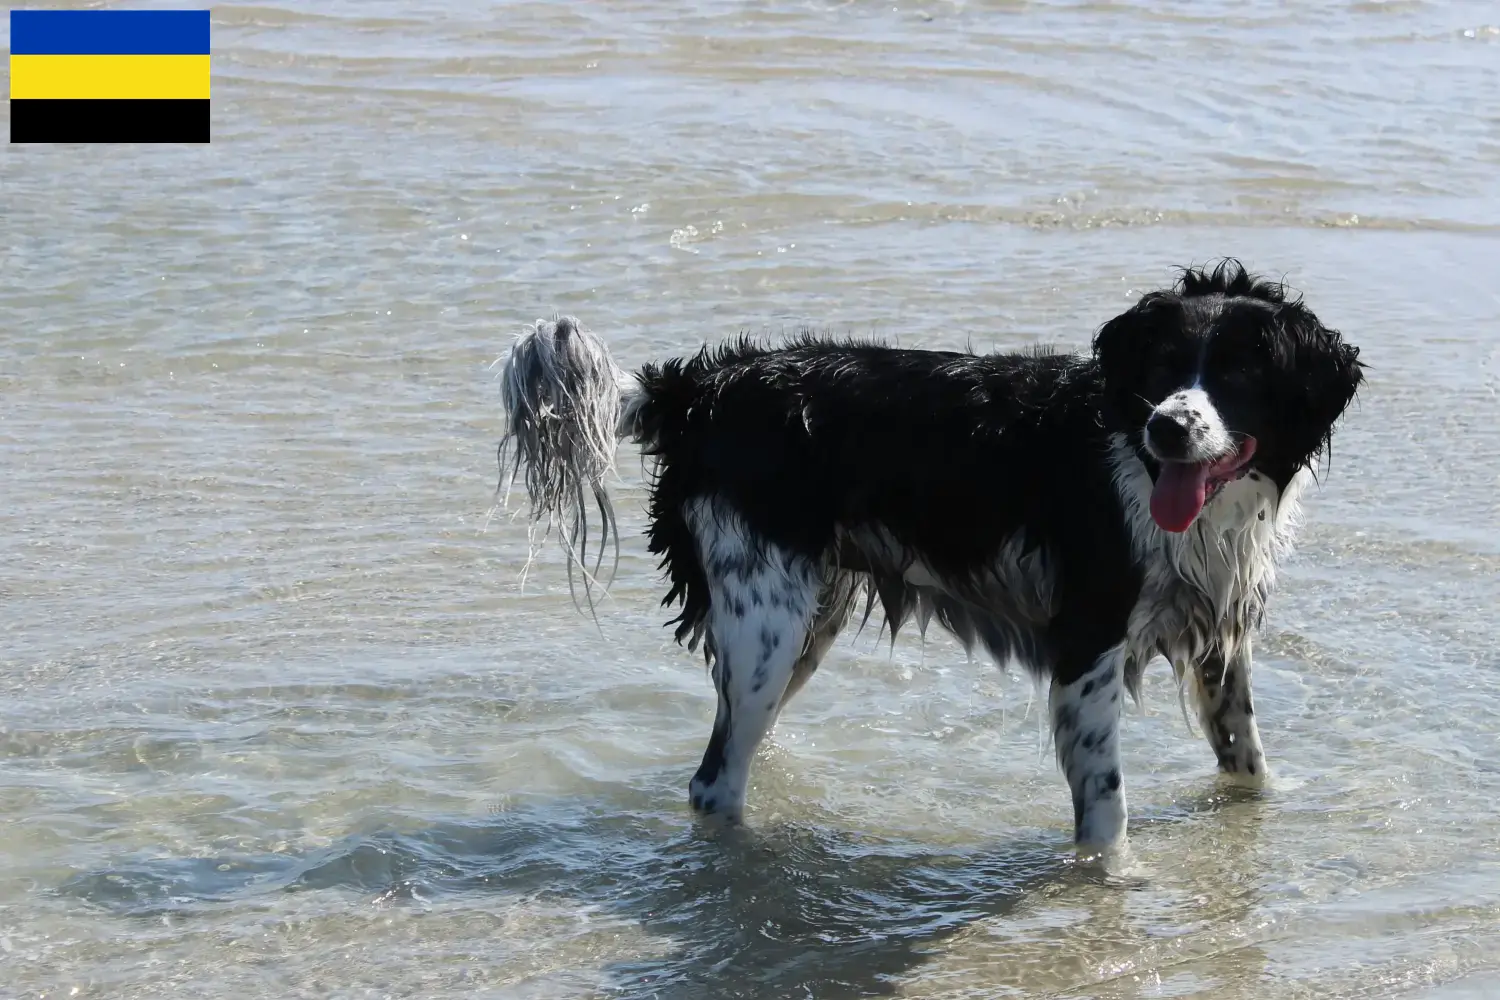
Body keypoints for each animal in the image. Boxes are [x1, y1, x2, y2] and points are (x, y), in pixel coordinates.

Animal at [495, 262, 1362, 857]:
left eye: (1239, 374)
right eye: (1162, 370)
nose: (1169, 427)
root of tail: (701, 389)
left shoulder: (1220, 635)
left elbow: (1245, 757)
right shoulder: (1088, 641)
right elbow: (1107, 805)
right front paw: (1115, 881)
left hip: (804, 621)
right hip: (766, 624)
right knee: (715, 780)